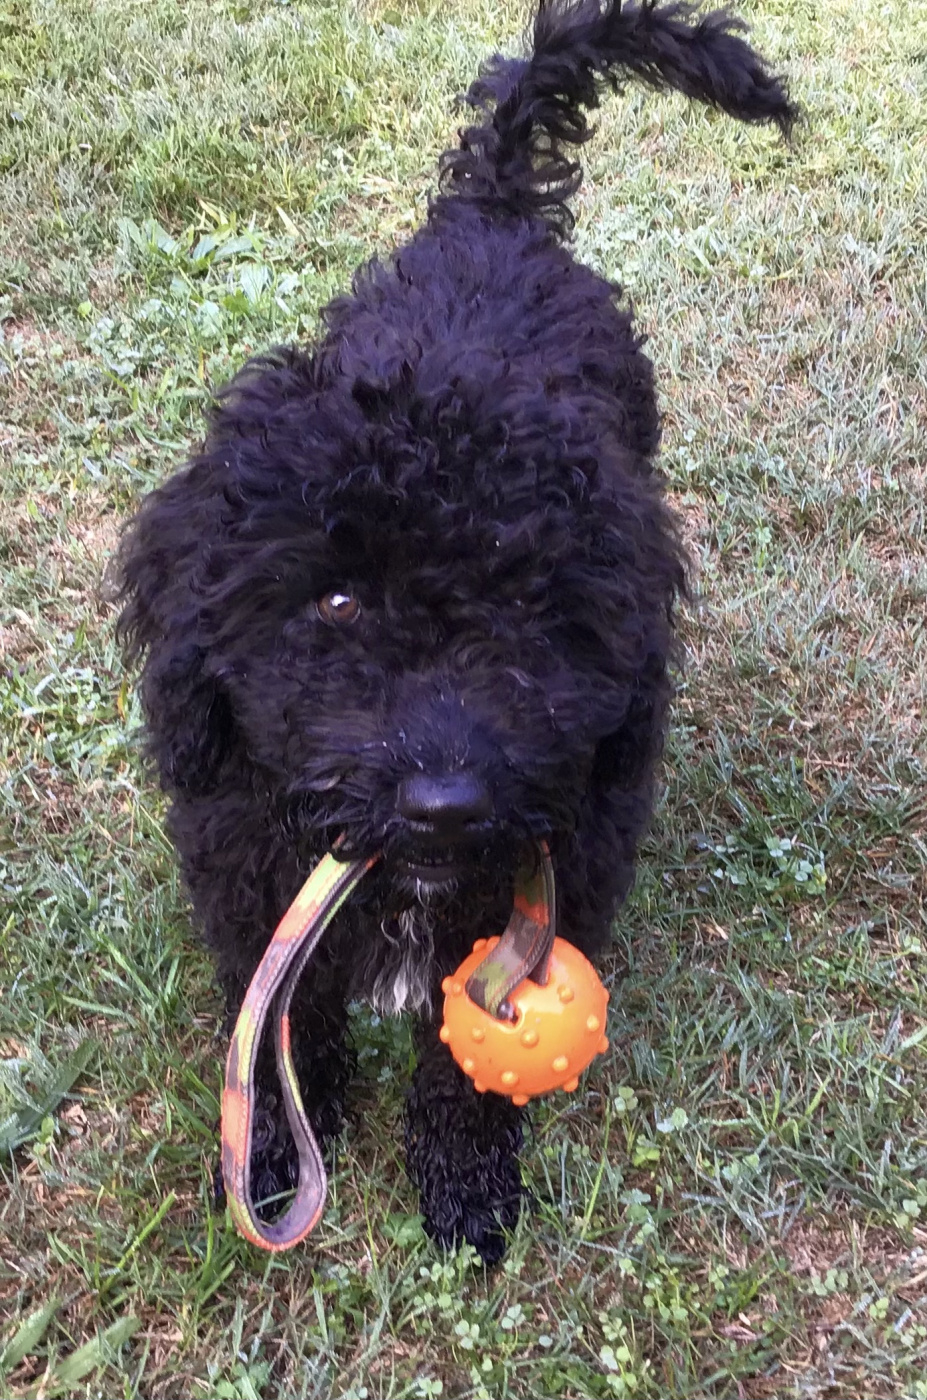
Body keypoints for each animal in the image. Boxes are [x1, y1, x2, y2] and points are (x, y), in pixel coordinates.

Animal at [118, 0, 795, 1263]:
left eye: (533, 605)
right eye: (334, 601)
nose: (443, 803)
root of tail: (496, 213)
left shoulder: (557, 872)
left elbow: (465, 1056)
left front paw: (469, 1176)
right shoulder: (246, 864)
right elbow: (282, 1020)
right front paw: (273, 1152)